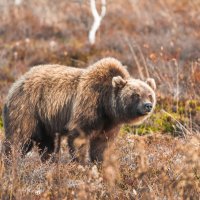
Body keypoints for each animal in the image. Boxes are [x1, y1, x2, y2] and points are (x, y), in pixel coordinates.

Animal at [2, 57, 156, 162]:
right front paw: (81, 163)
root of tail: (17, 82)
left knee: (47, 144)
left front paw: (100, 162)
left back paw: (49, 161)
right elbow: (79, 136)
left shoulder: (109, 123)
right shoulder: (88, 105)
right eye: (136, 95)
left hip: (45, 121)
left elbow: (102, 144)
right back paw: (11, 161)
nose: (148, 105)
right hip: (27, 109)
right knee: (18, 138)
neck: (106, 105)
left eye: (149, 94)